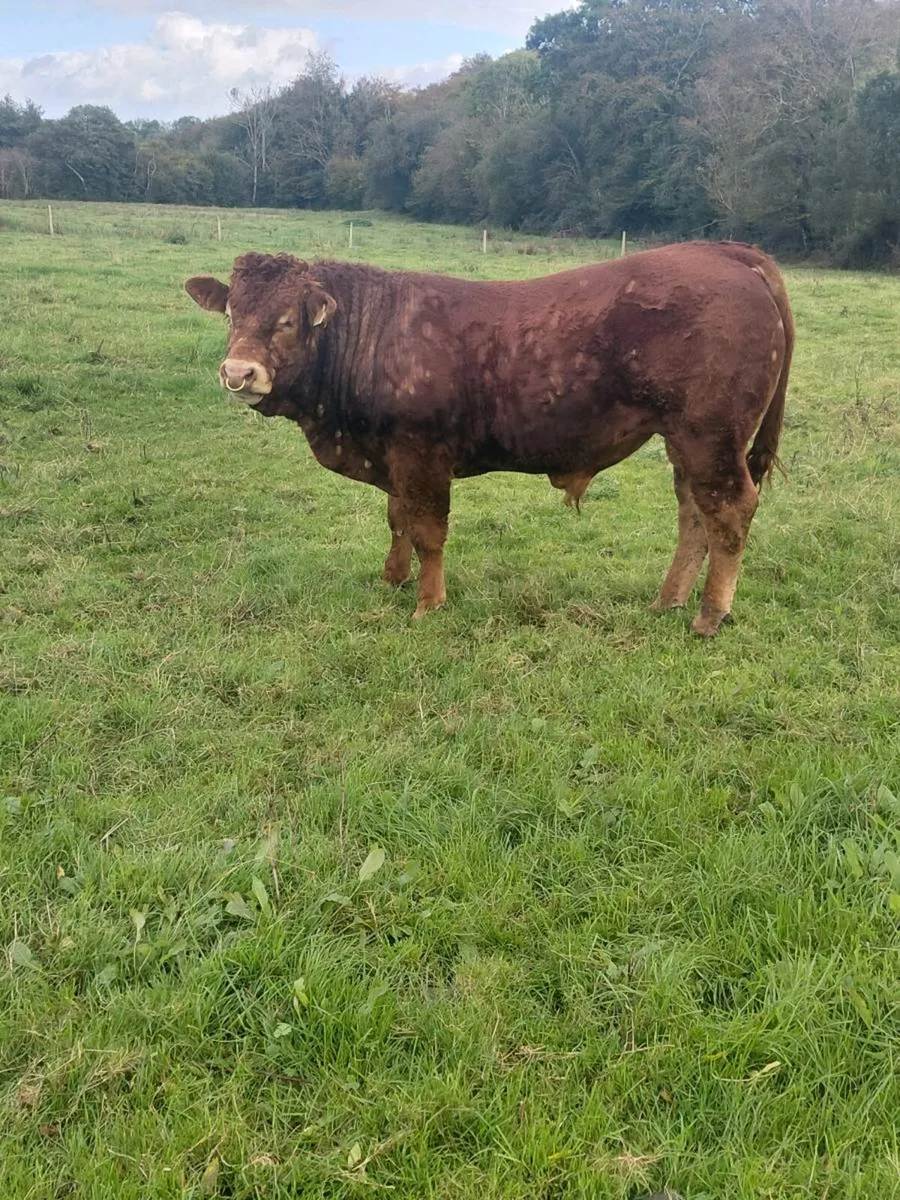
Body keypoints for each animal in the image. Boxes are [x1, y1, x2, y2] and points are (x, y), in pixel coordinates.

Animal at [184, 241, 794, 636]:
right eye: (231, 312)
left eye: (288, 320)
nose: (238, 373)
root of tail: (726, 252)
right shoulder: (393, 458)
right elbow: (397, 519)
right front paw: (392, 580)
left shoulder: (422, 454)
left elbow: (428, 531)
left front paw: (428, 603)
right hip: (684, 440)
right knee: (694, 513)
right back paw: (667, 601)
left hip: (710, 435)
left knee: (729, 511)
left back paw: (709, 615)